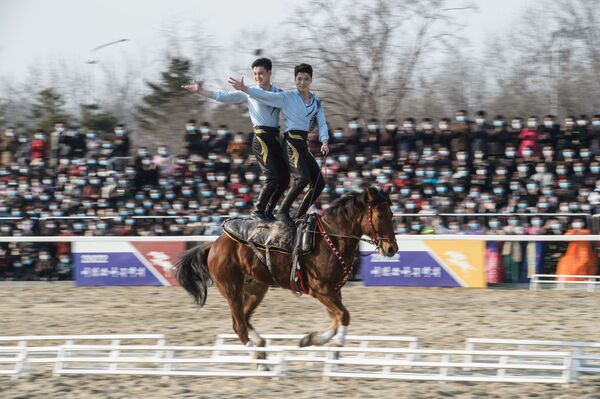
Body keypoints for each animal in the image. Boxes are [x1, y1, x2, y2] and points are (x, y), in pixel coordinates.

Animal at [176, 186, 396, 352]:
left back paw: (260, 345)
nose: (392, 248)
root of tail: (213, 245)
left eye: (392, 214)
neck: (330, 238)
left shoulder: (334, 291)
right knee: (238, 325)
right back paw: (258, 358)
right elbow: (344, 316)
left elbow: (337, 319)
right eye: (379, 214)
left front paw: (311, 339)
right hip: (231, 290)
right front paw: (337, 346)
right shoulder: (321, 290)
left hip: (256, 289)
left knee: (245, 318)